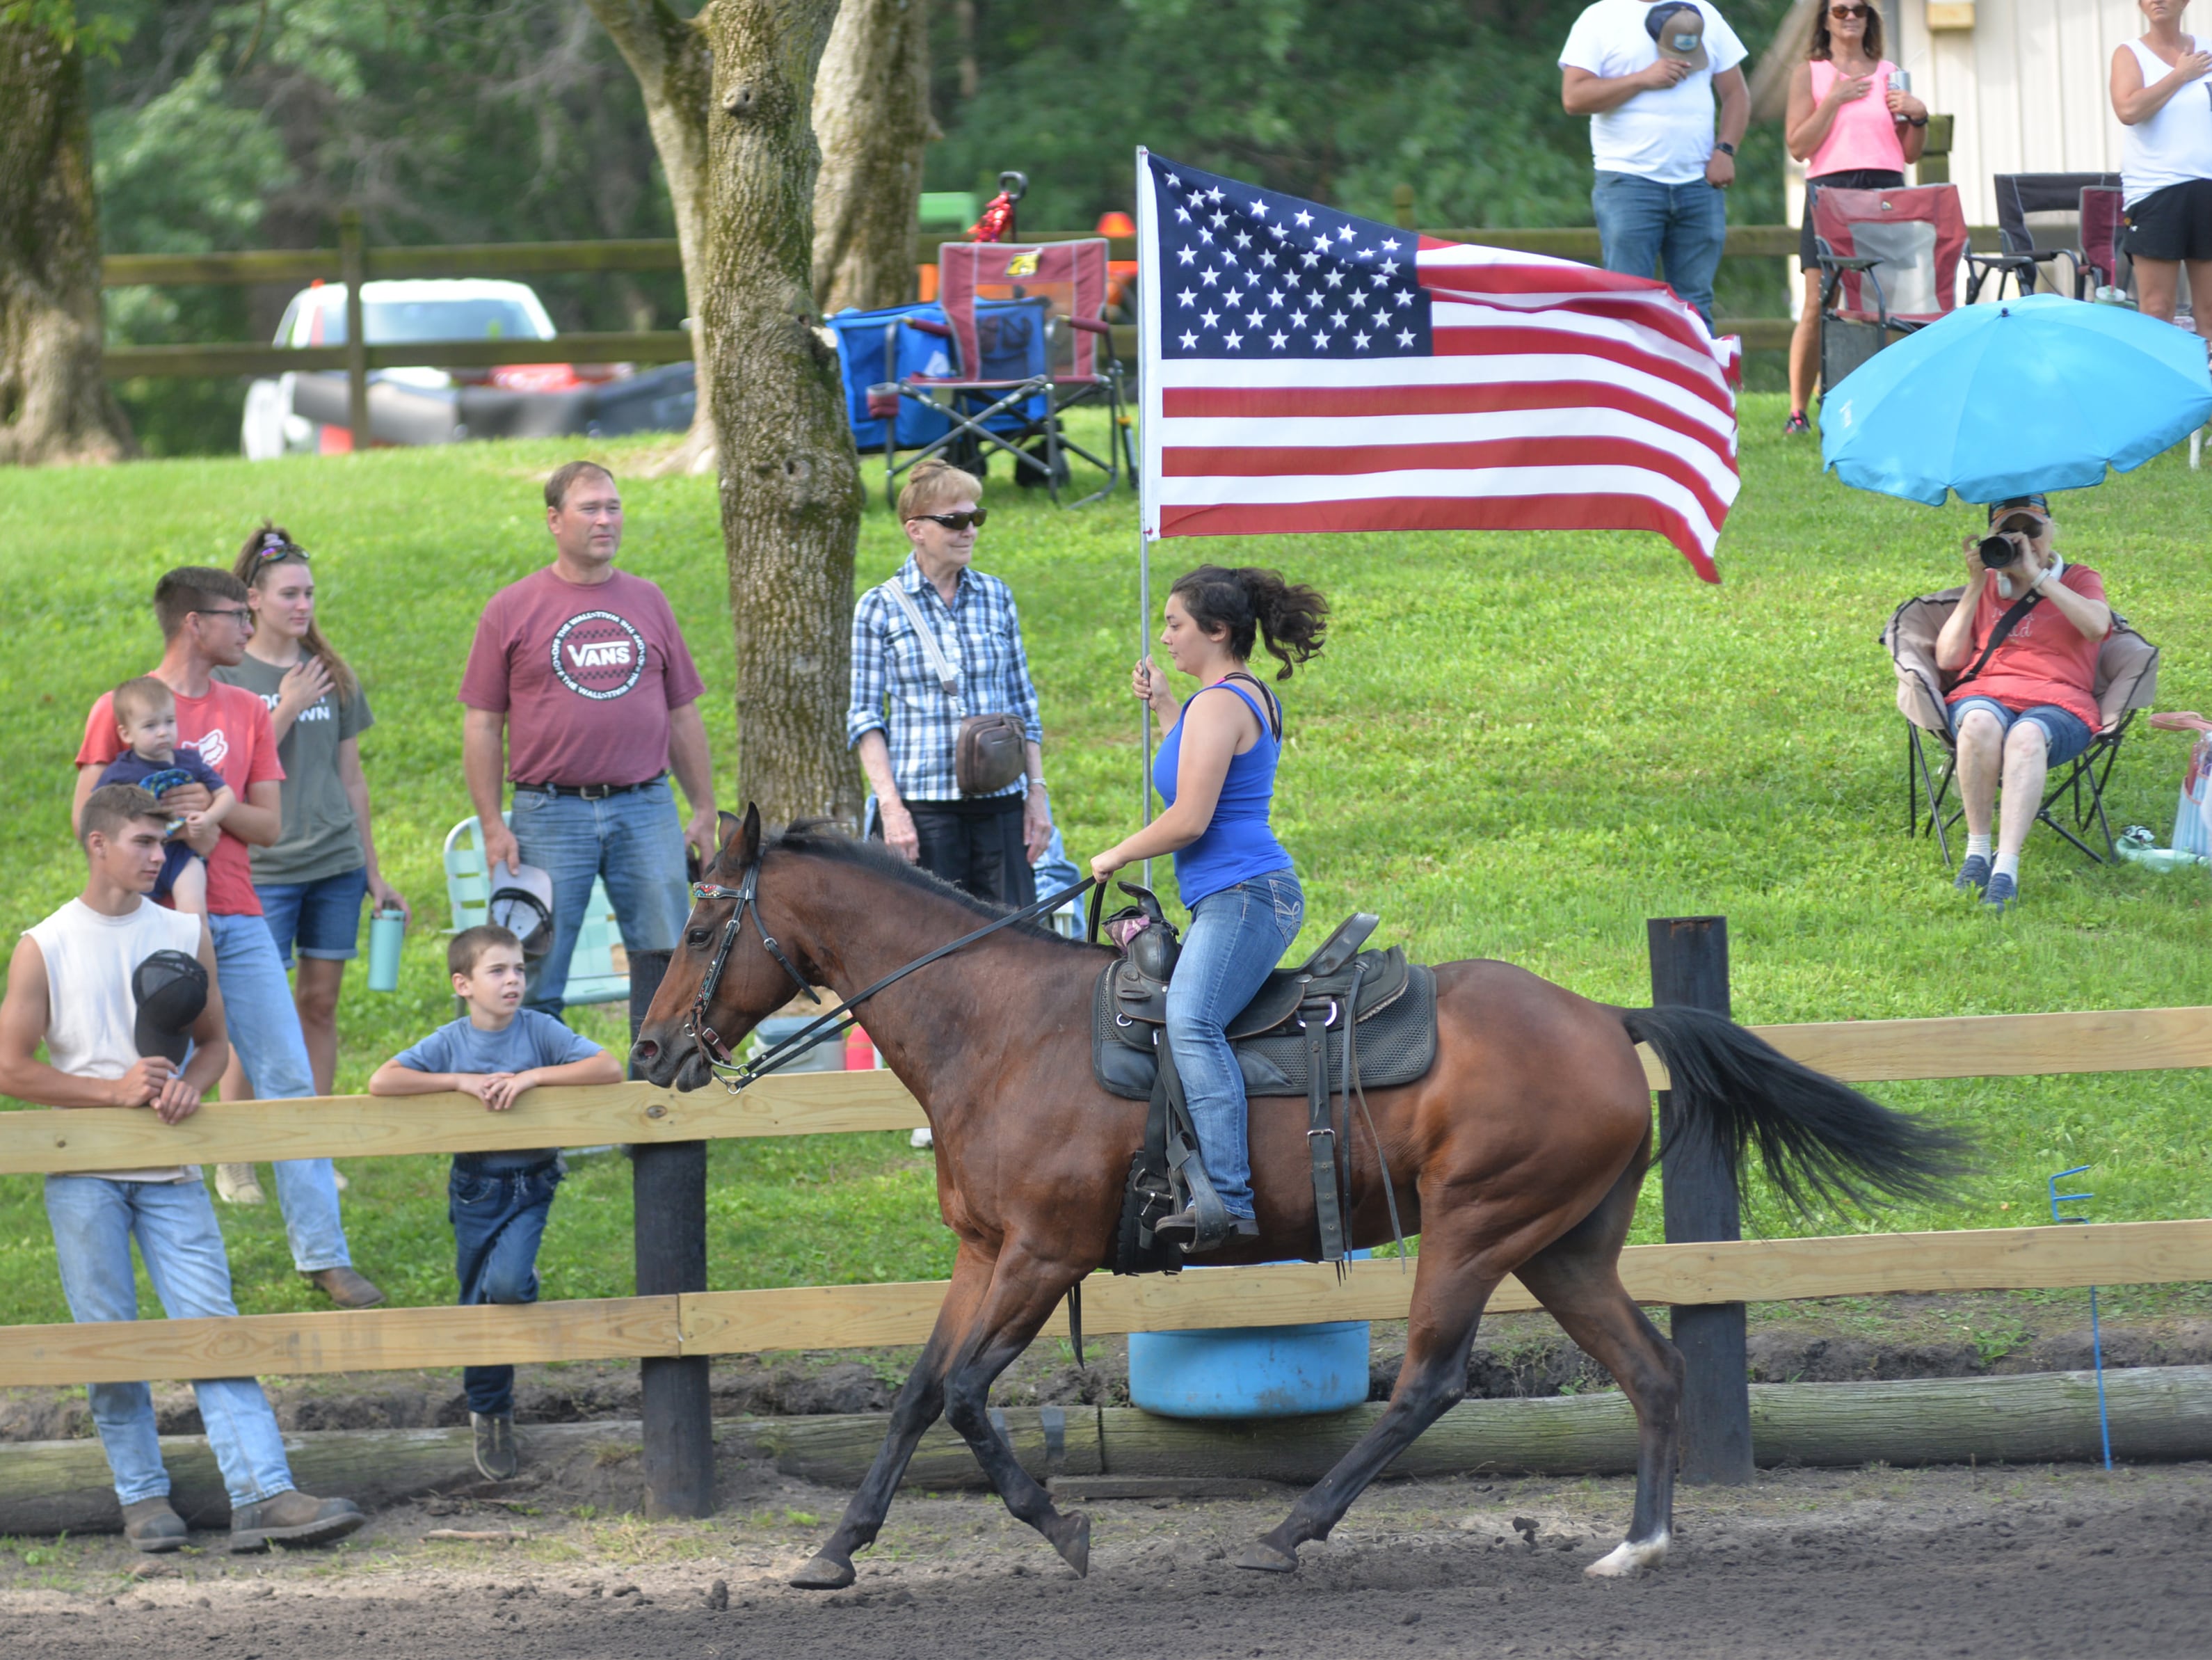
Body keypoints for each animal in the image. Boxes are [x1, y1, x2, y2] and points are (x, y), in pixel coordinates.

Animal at [632, 814, 1964, 1593]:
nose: (648, 1050)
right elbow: (917, 1394)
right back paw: (1637, 1543)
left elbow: (962, 1393)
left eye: (700, 922)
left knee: (1429, 1380)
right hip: (1563, 1246)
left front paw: (1061, 1529)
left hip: (1477, 1229)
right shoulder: (981, 1253)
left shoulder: (1044, 1256)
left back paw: (1295, 1528)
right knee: (1652, 1369)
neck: (1000, 1028)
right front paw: (834, 1551)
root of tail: (1604, 1015)